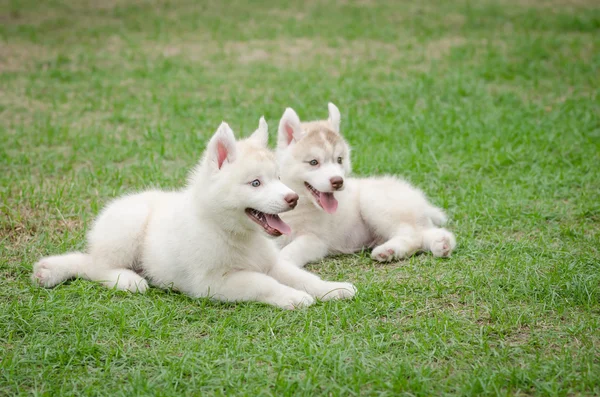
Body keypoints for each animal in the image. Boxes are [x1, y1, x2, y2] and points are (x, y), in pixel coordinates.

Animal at [31, 117, 356, 310]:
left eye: (278, 178)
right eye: (255, 183)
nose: (292, 199)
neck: (230, 232)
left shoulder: (272, 262)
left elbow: (303, 276)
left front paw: (332, 289)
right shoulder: (213, 282)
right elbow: (264, 284)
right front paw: (293, 297)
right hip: (127, 231)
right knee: (94, 266)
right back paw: (127, 280)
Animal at [276, 103, 454, 268]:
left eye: (339, 160)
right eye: (314, 162)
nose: (338, 181)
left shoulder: (315, 240)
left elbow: (288, 252)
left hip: (374, 202)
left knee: (413, 235)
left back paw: (388, 251)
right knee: (429, 232)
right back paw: (441, 244)